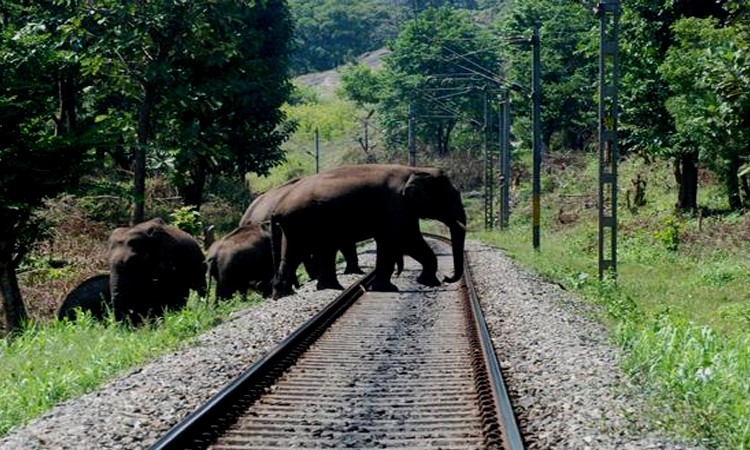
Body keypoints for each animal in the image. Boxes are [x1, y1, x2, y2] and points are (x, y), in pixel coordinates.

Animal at [274, 163, 468, 298]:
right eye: (452, 196)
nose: (447, 278)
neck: (416, 169)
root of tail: (279, 207)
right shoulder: (397, 206)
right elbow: (405, 239)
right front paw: (427, 283)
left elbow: (390, 241)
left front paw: (387, 287)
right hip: (305, 220)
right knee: (317, 249)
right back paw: (329, 288)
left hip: (294, 225)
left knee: (293, 253)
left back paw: (285, 294)